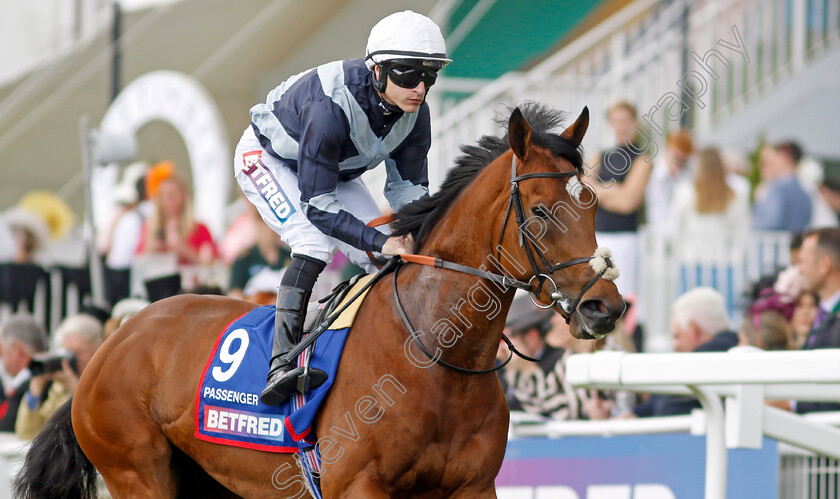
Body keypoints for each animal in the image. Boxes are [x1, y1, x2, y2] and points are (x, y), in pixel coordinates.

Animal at [13, 102, 624, 499]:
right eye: (540, 211)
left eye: (593, 204)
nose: (606, 307)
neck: (436, 356)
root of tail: (109, 346)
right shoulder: (359, 486)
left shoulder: (472, 488)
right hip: (138, 473)